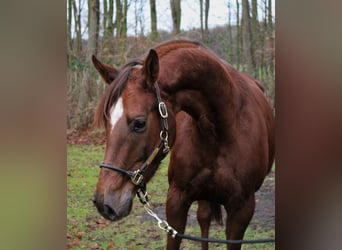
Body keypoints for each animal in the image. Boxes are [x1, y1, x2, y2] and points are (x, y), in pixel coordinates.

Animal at [91, 40, 276, 249]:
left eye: (139, 123)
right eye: (106, 122)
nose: (104, 203)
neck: (221, 130)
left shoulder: (242, 209)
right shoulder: (176, 200)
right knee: (204, 218)